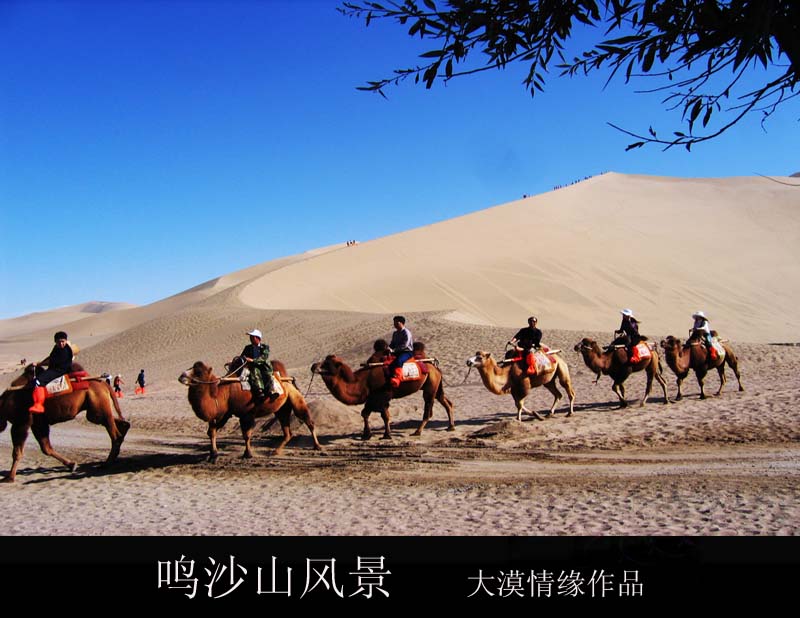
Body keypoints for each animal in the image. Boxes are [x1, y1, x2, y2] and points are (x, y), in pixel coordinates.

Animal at [0, 360, 130, 482]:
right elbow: (46, 448)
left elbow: (17, 451)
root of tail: (104, 384)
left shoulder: (21, 422)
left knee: (114, 435)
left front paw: (9, 477)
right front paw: (72, 464)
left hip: (98, 405)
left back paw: (107, 464)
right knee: (120, 424)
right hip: (95, 411)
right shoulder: (38, 423)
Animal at [180, 356, 320, 458]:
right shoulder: (225, 414)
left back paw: (317, 446)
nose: (182, 376)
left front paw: (248, 454)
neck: (221, 391)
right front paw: (213, 453)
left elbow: (246, 434)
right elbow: (211, 431)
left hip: (296, 399)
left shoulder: (246, 414)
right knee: (287, 432)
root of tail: (287, 379)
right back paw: (275, 451)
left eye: (198, 372)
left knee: (309, 421)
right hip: (282, 409)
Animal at [310, 352, 454, 438]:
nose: (313, 366)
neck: (361, 381)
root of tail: (435, 367)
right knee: (447, 402)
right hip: (435, 386)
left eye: (327, 364)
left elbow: (385, 415)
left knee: (428, 409)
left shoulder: (383, 395)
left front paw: (386, 435)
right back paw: (450, 427)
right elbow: (365, 413)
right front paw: (366, 434)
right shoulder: (372, 398)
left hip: (430, 387)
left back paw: (417, 431)